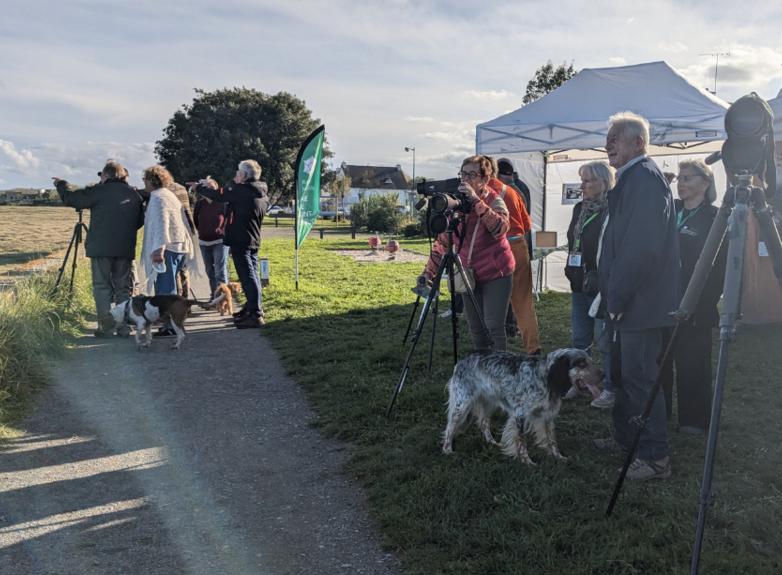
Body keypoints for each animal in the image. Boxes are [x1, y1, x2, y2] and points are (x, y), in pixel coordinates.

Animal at [444, 348, 604, 466]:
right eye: (582, 363)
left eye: (590, 361)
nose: (603, 374)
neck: (545, 377)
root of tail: (464, 357)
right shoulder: (520, 414)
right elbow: (522, 441)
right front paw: (527, 462)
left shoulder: (548, 415)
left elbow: (552, 439)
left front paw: (558, 457)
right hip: (462, 403)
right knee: (450, 427)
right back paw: (447, 449)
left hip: (490, 403)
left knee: (484, 423)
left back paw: (492, 442)